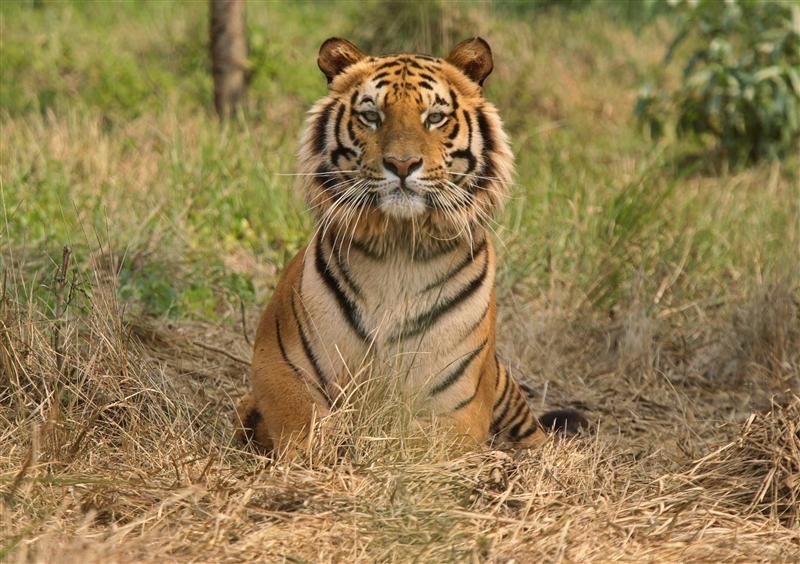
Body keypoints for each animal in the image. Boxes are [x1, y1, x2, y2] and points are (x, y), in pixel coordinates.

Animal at [235, 37, 585, 457]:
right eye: (371, 115)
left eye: (434, 117)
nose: (402, 165)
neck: (398, 249)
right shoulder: (278, 365)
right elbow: (303, 423)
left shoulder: (456, 402)